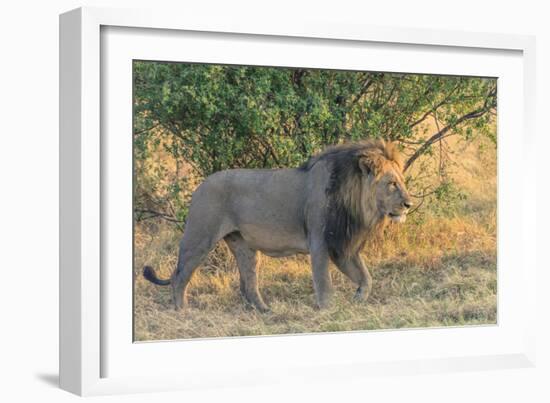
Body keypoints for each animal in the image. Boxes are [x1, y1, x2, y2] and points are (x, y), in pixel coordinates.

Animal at [144, 139, 412, 312]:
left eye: (402, 181)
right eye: (391, 184)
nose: (408, 204)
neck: (355, 201)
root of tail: (200, 185)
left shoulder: (342, 245)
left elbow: (366, 278)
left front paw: (358, 299)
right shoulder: (321, 242)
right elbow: (324, 283)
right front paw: (328, 311)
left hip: (244, 246)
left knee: (248, 285)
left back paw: (266, 311)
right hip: (200, 237)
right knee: (179, 277)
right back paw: (182, 311)